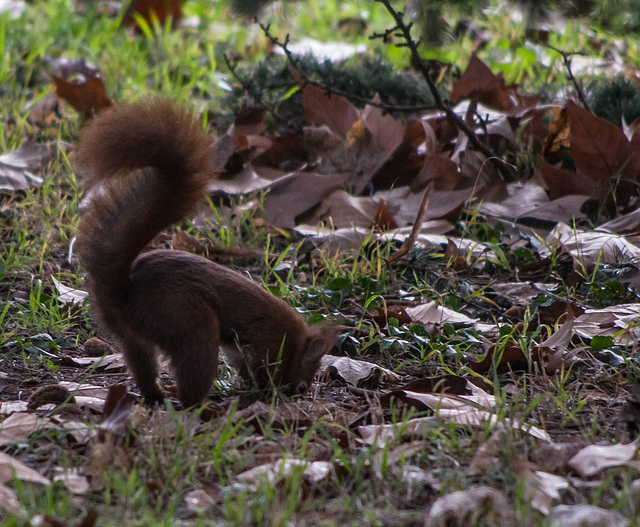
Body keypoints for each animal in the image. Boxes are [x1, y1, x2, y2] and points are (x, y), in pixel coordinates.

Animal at [75, 100, 338, 408]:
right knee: (193, 376)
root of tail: (122, 296)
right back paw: (201, 403)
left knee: (142, 366)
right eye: (301, 386)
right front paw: (263, 391)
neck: (293, 342)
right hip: (189, 322)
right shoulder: (268, 340)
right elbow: (262, 369)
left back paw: (158, 394)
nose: (290, 397)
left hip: (136, 339)